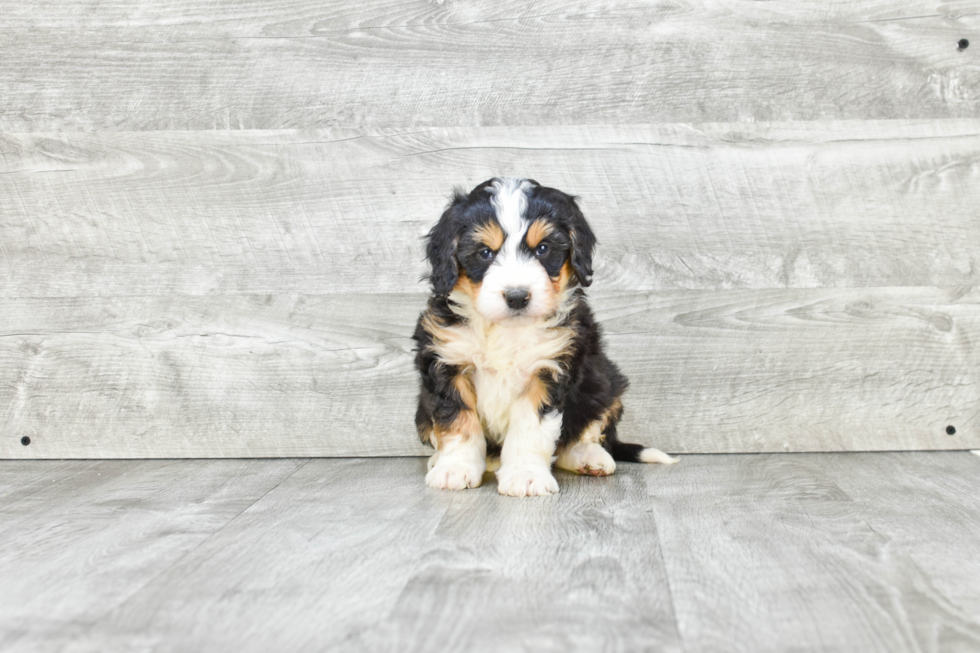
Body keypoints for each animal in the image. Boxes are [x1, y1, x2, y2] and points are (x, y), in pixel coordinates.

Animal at [412, 176, 672, 496]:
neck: (505, 329)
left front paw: (525, 476)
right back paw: (439, 460)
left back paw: (589, 457)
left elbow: (530, 429)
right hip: (421, 409)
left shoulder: (547, 370)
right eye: (485, 253)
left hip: (605, 385)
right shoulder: (448, 363)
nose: (517, 296)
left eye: (543, 249)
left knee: (581, 435)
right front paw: (455, 469)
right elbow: (458, 422)